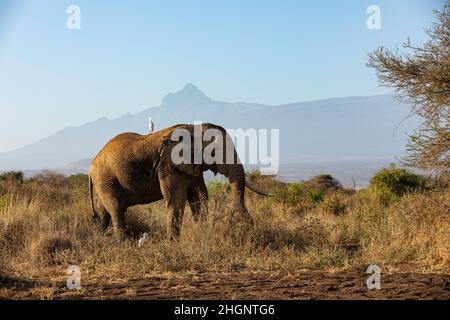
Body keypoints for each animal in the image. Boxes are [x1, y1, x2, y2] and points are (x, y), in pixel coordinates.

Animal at [89, 124, 268, 239]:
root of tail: (91, 167)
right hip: (106, 180)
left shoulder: (192, 167)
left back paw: (100, 240)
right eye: (215, 152)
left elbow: (200, 198)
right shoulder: (168, 165)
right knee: (116, 209)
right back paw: (123, 243)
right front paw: (173, 243)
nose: (250, 226)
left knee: (103, 214)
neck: (194, 129)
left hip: (104, 182)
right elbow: (177, 200)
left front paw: (202, 234)